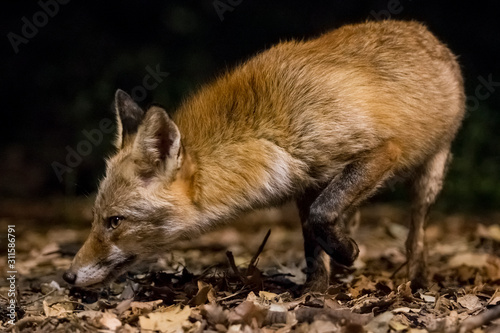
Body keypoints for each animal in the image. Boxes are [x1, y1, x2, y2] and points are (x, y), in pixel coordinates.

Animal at [62, 20, 464, 290]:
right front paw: (316, 292)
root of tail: (423, 31)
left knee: (415, 235)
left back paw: (415, 279)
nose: (67, 275)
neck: (268, 135)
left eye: (115, 221)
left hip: (430, 174)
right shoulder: (307, 184)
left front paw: (347, 254)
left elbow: (323, 215)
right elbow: (314, 240)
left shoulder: (381, 150)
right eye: (96, 217)